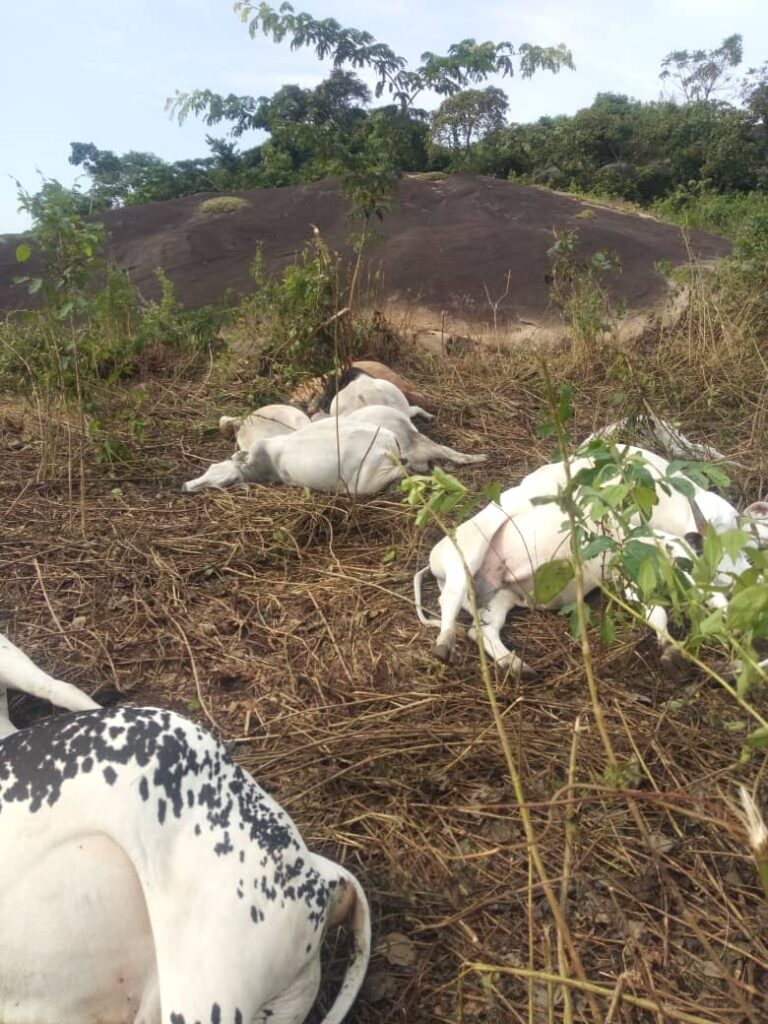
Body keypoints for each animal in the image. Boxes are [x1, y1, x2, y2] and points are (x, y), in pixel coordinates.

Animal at [413, 445, 752, 673]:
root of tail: (434, 559)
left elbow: (660, 611)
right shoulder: (623, 567)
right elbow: (657, 612)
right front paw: (670, 648)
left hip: (498, 598)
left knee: (482, 630)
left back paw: (515, 664)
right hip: (470, 549)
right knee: (449, 599)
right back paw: (444, 645)